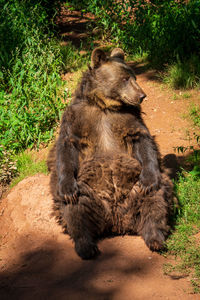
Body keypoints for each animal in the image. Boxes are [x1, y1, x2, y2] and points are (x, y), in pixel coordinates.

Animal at [47, 48, 174, 258]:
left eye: (133, 77)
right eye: (124, 78)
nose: (142, 95)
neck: (104, 105)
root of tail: (116, 221)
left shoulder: (129, 118)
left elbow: (143, 141)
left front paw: (149, 179)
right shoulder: (77, 118)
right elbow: (67, 147)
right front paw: (67, 188)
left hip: (135, 187)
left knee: (155, 199)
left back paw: (155, 238)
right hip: (87, 189)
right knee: (76, 209)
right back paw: (86, 245)